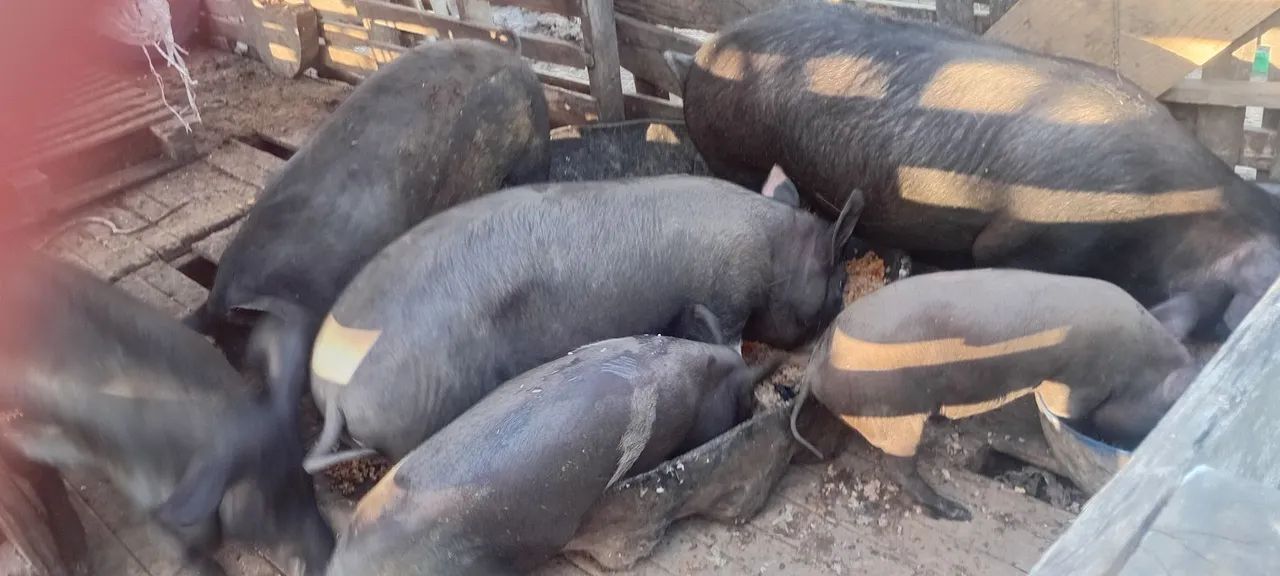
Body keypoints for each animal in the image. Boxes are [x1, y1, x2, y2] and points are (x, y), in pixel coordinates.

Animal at [304, 170, 854, 467]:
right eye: (839, 279)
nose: (843, 301)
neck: (774, 250)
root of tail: (336, 392)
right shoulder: (729, 298)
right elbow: (734, 343)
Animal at [793, 269, 1198, 520]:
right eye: (1159, 412)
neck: (1137, 362)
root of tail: (815, 366)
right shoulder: (1075, 383)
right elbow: (1065, 410)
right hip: (894, 415)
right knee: (900, 469)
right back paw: (958, 512)